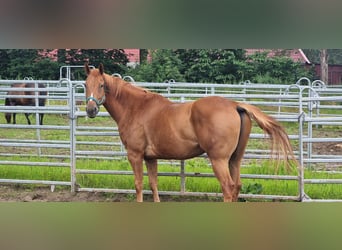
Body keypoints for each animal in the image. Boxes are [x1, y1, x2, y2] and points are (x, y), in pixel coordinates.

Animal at [84, 63, 296, 202]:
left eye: (102, 85)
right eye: (85, 84)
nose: (90, 110)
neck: (136, 107)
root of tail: (235, 105)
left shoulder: (135, 155)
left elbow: (138, 184)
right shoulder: (150, 157)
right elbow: (153, 184)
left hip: (219, 160)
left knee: (227, 188)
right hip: (235, 160)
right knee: (236, 187)